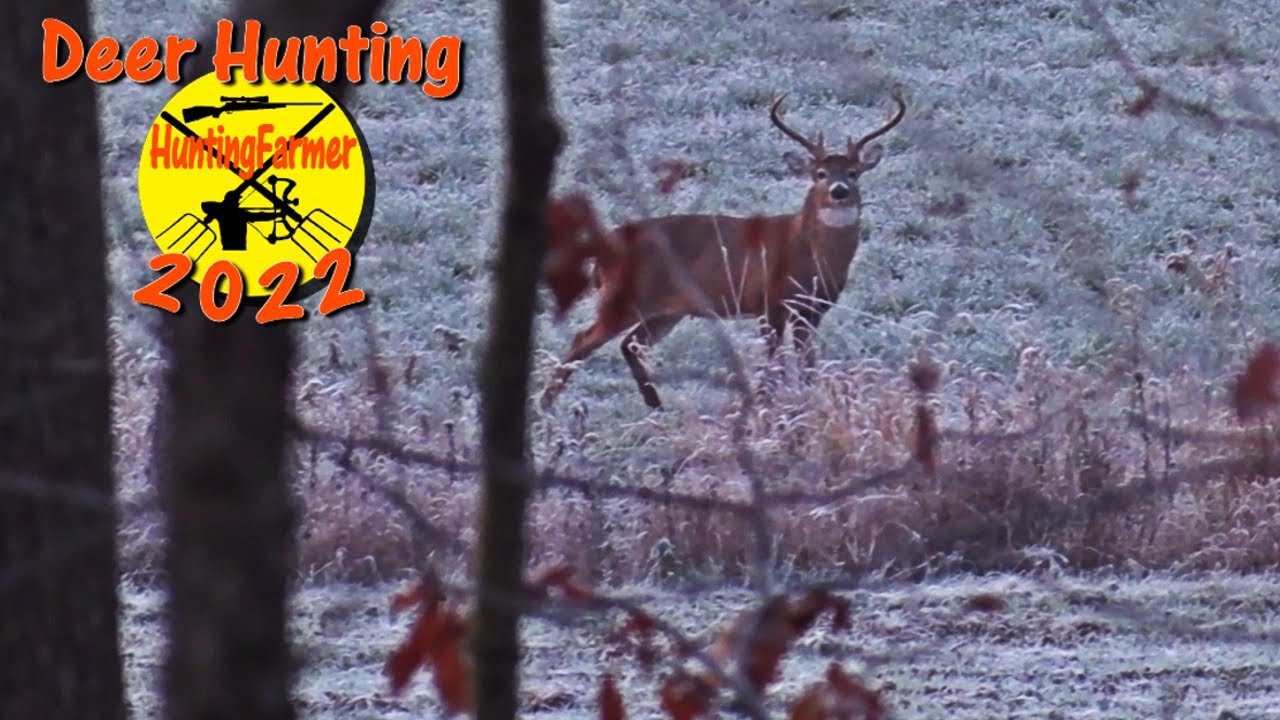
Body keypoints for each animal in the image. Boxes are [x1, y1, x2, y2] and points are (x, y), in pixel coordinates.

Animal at [539, 88, 906, 412]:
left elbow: (807, 364)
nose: (839, 190)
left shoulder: (812, 308)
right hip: (623, 297)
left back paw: (656, 407)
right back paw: (546, 407)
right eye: (819, 173)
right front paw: (769, 405)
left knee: (629, 344)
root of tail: (602, 252)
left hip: (667, 310)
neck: (807, 252)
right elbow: (773, 360)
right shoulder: (769, 300)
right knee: (581, 340)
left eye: (854, 173)